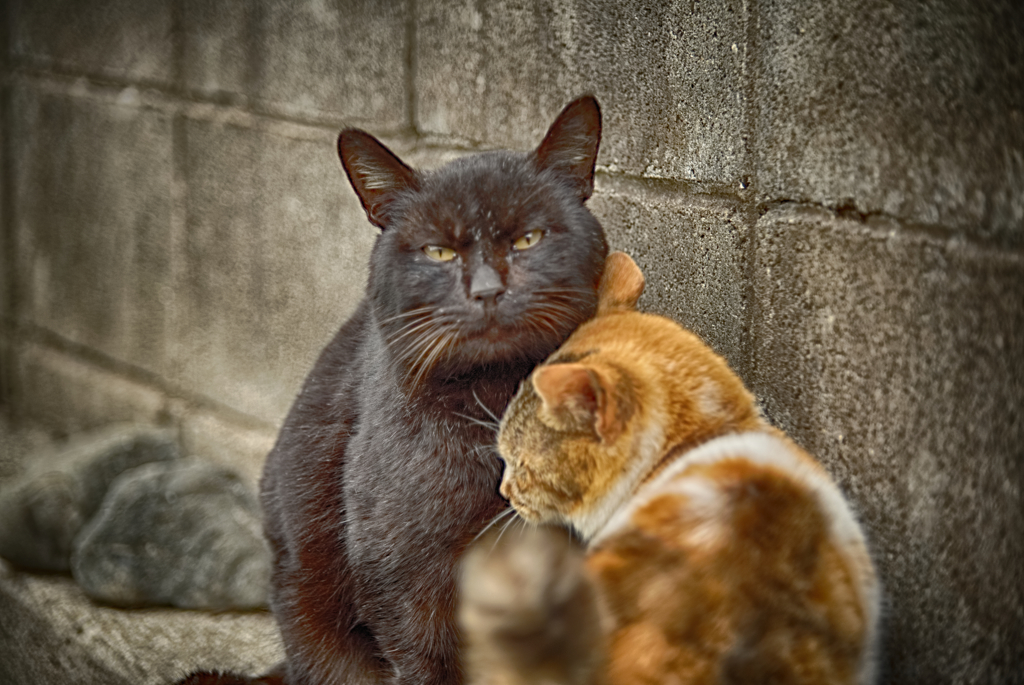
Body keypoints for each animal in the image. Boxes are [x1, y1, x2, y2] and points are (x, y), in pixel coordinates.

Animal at [184, 96, 606, 683]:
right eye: (438, 252)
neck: (495, 401)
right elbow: (428, 657)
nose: (487, 290)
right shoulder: (402, 571)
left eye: (528, 239)